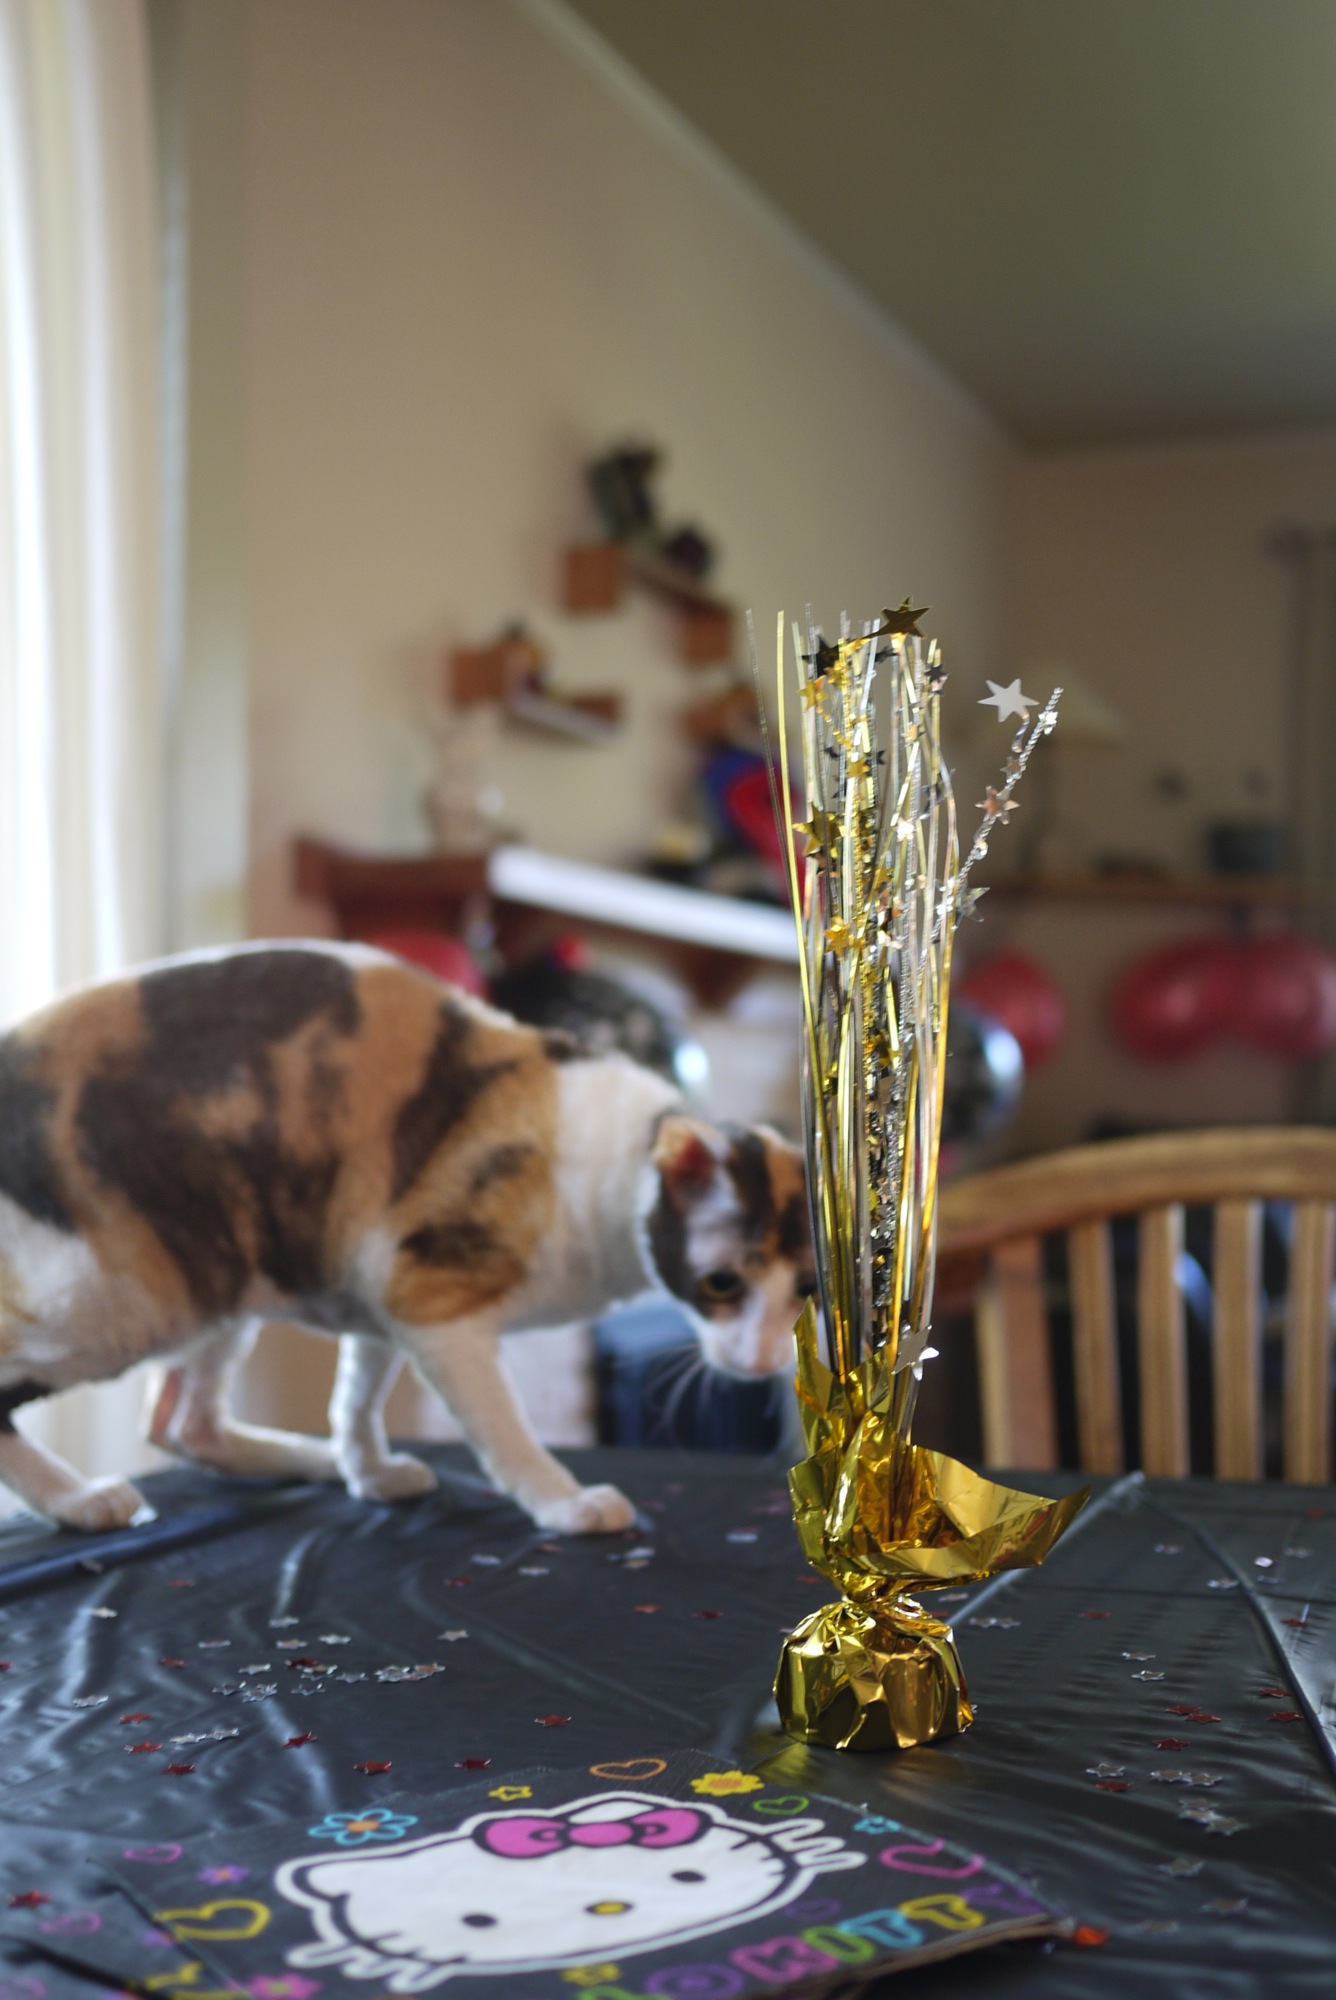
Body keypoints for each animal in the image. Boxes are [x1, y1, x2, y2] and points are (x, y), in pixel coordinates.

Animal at [0, 944, 816, 1536]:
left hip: (222, 1275)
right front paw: (563, 1502)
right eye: (722, 1282)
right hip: (123, 1299)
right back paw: (78, 1502)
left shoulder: (378, 1294)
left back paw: (309, 1461)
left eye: (807, 1292)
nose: (762, 1362)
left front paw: (370, 1472)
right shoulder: (431, 1295)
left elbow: (358, 1402)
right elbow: (504, 1429)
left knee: (181, 1424)